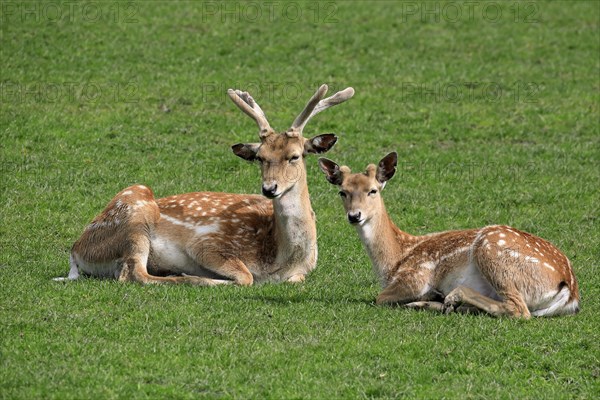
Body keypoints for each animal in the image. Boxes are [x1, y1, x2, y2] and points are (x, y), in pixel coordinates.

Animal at [55, 83, 352, 284]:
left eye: (295, 156)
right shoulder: (207, 244)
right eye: (260, 157)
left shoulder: (300, 274)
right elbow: (246, 277)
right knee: (135, 273)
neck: (280, 260)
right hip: (135, 215)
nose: (270, 189)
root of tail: (76, 250)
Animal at [322, 152, 580, 318]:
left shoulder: (416, 276)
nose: (355, 215)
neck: (394, 260)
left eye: (373, 190)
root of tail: (570, 290)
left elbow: (379, 298)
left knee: (518, 309)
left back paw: (446, 299)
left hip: (492, 251)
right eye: (342, 192)